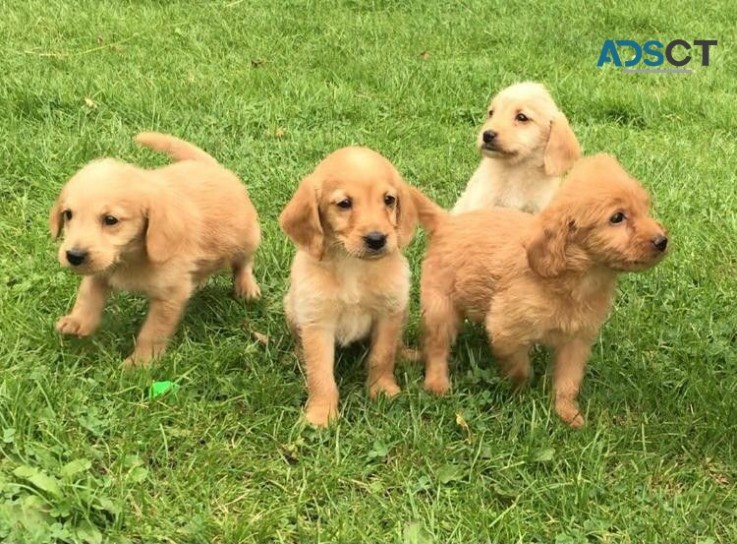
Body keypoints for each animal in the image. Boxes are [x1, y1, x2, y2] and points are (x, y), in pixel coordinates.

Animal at [50, 132, 262, 368]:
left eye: (111, 220)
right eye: (68, 214)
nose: (74, 256)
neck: (130, 257)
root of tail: (212, 167)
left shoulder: (169, 296)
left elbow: (152, 332)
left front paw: (140, 363)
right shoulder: (101, 271)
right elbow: (88, 295)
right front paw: (78, 321)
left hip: (247, 238)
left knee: (243, 262)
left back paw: (246, 286)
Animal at [278, 147, 416, 428]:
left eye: (389, 200)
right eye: (344, 204)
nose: (377, 239)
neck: (352, 265)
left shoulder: (389, 312)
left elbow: (382, 356)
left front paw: (382, 390)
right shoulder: (317, 322)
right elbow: (320, 374)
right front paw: (321, 414)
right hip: (292, 308)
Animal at [412, 154, 668, 430]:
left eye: (644, 208)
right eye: (617, 217)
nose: (662, 241)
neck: (578, 279)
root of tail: (446, 223)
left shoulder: (576, 341)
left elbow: (568, 382)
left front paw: (568, 414)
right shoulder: (504, 329)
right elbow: (521, 369)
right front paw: (519, 391)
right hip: (439, 307)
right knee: (436, 347)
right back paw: (437, 383)